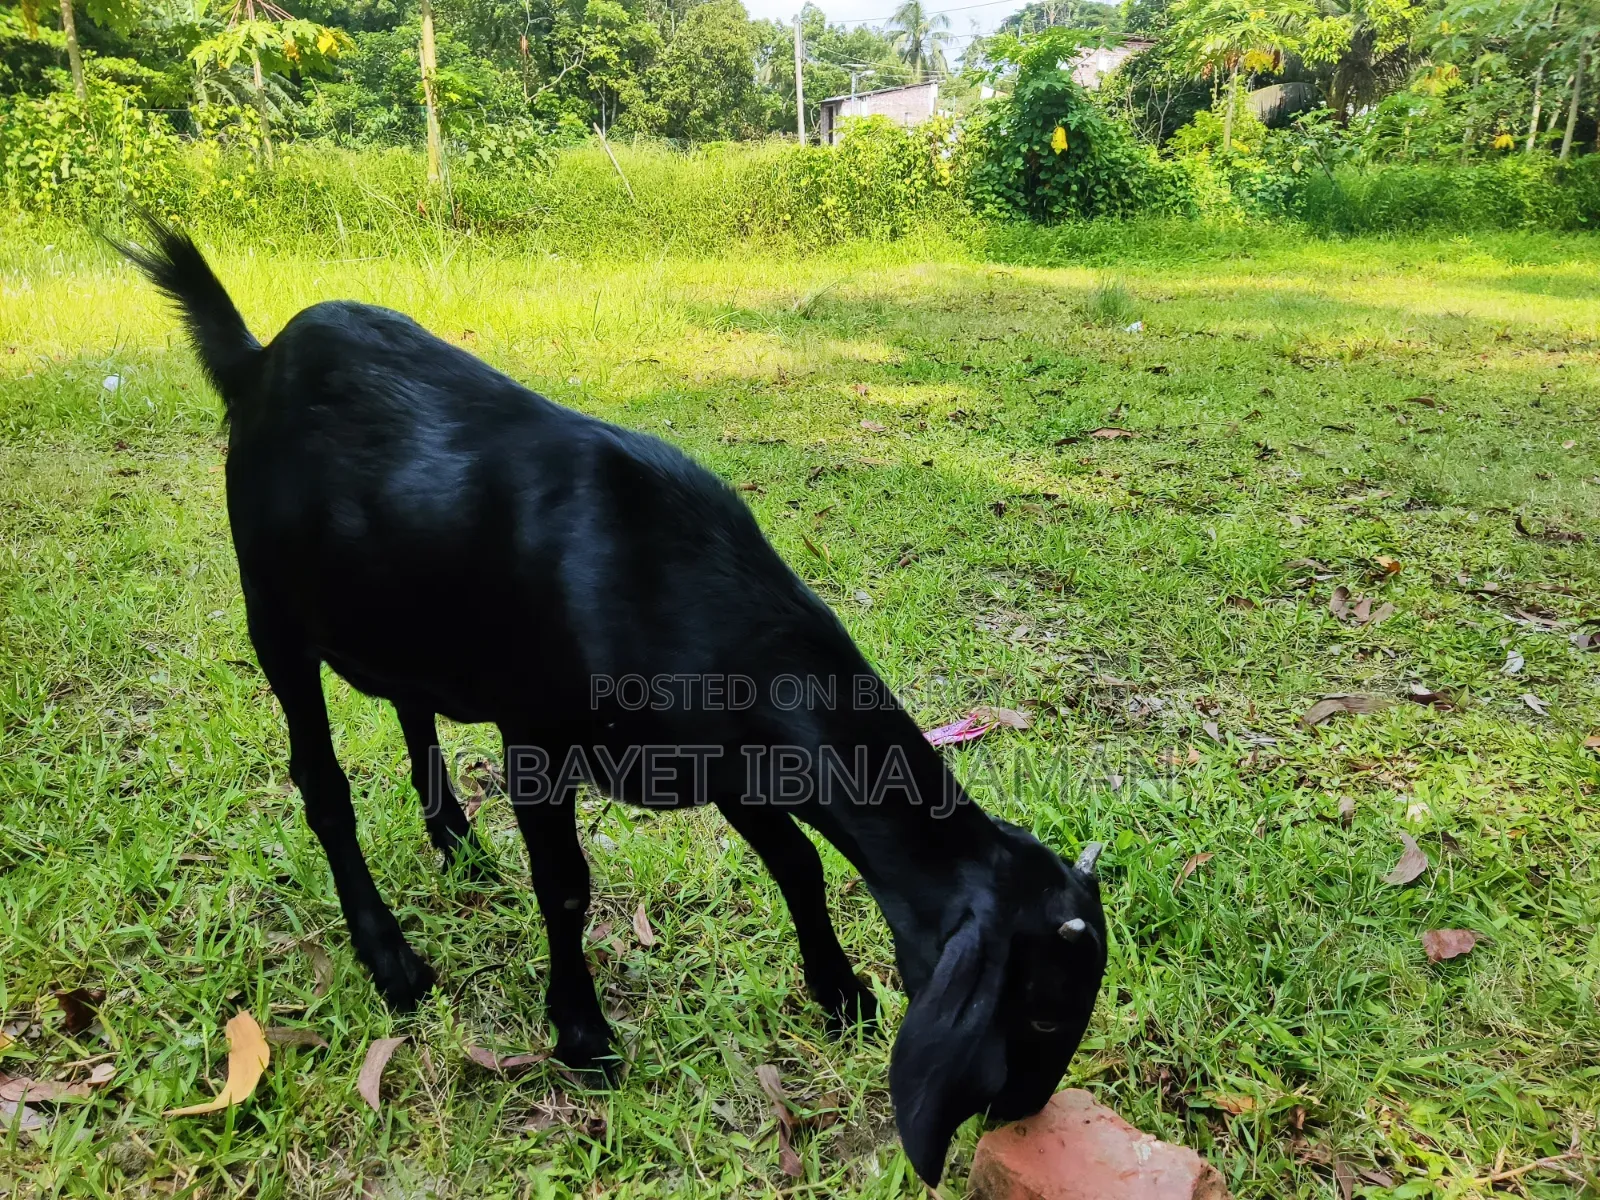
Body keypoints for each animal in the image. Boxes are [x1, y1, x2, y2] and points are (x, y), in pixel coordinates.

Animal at [116, 215, 1107, 1185]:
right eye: (1042, 1013)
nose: (1022, 1113)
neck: (675, 584)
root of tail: (258, 359)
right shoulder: (536, 735)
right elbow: (565, 885)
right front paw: (583, 1033)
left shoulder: (726, 755)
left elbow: (798, 861)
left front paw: (842, 993)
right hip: (273, 611)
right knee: (322, 785)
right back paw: (391, 958)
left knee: (412, 707)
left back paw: (457, 842)